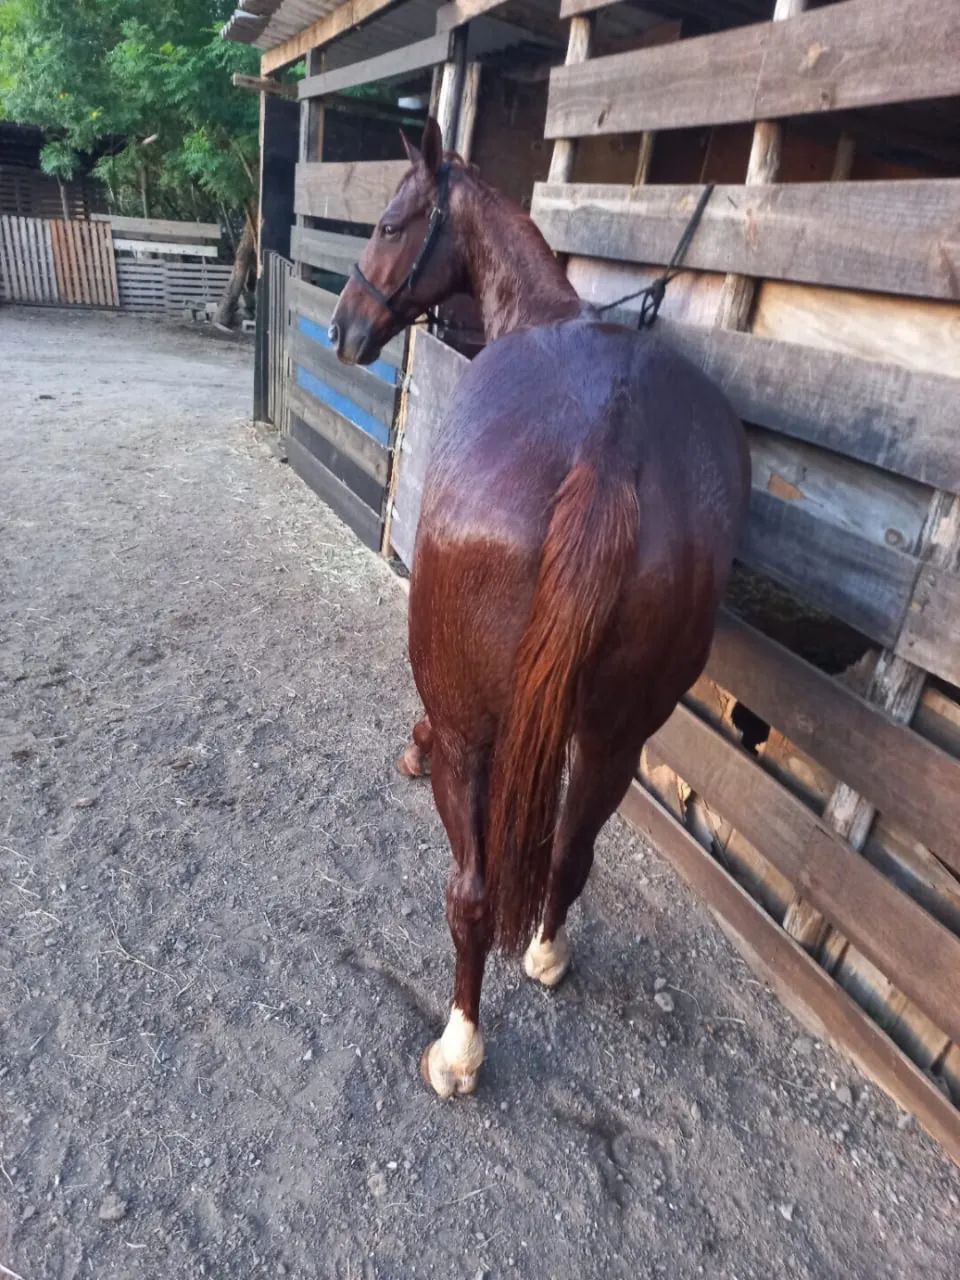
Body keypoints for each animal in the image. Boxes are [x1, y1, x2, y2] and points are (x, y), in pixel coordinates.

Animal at [329, 118, 750, 1098]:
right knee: (569, 852)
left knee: (472, 894)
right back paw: (547, 953)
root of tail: (610, 448)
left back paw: (460, 1046)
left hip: (476, 735)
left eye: (393, 222)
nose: (343, 327)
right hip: (616, 737)